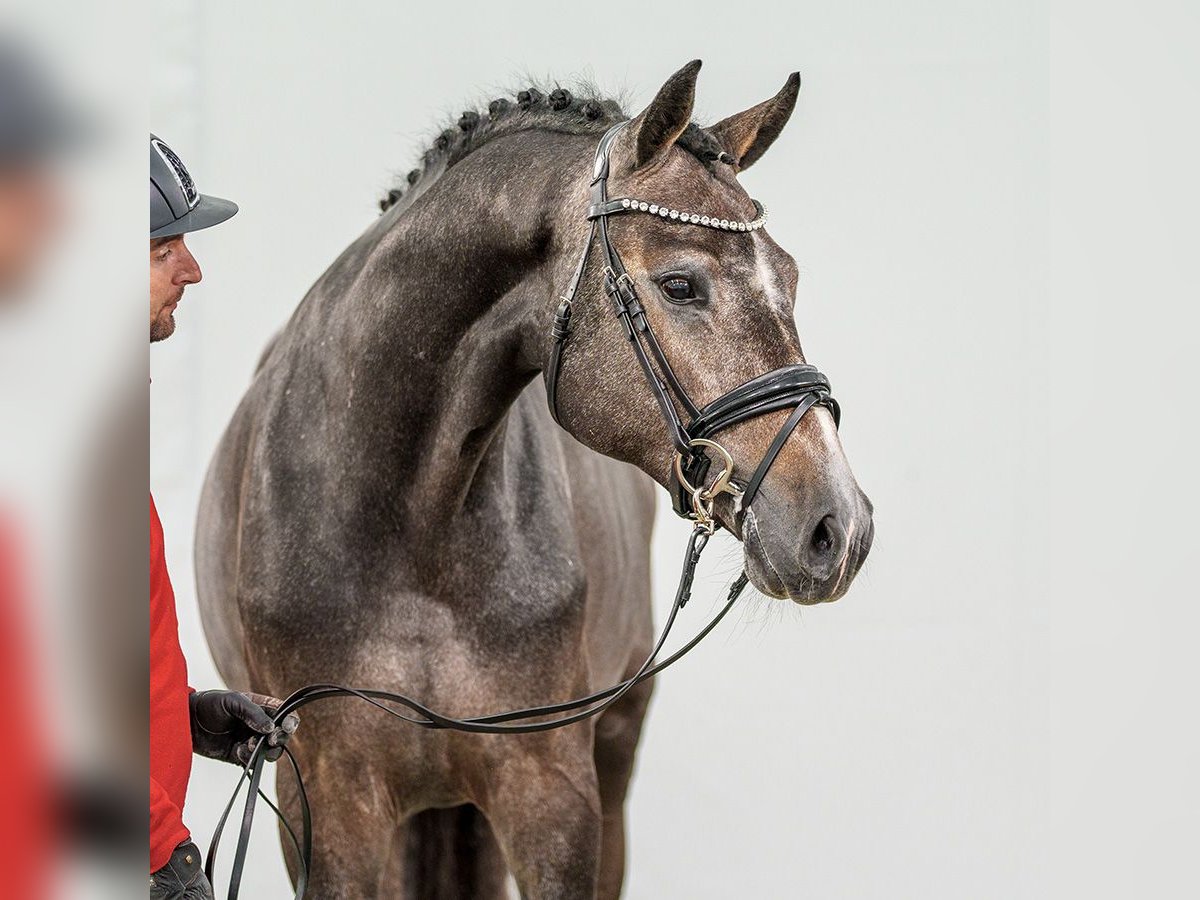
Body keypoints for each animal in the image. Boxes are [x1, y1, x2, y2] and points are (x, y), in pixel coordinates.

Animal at [196, 60, 873, 897]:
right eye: (681, 285)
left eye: (791, 277)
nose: (839, 527)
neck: (406, 523)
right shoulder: (329, 804)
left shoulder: (549, 793)